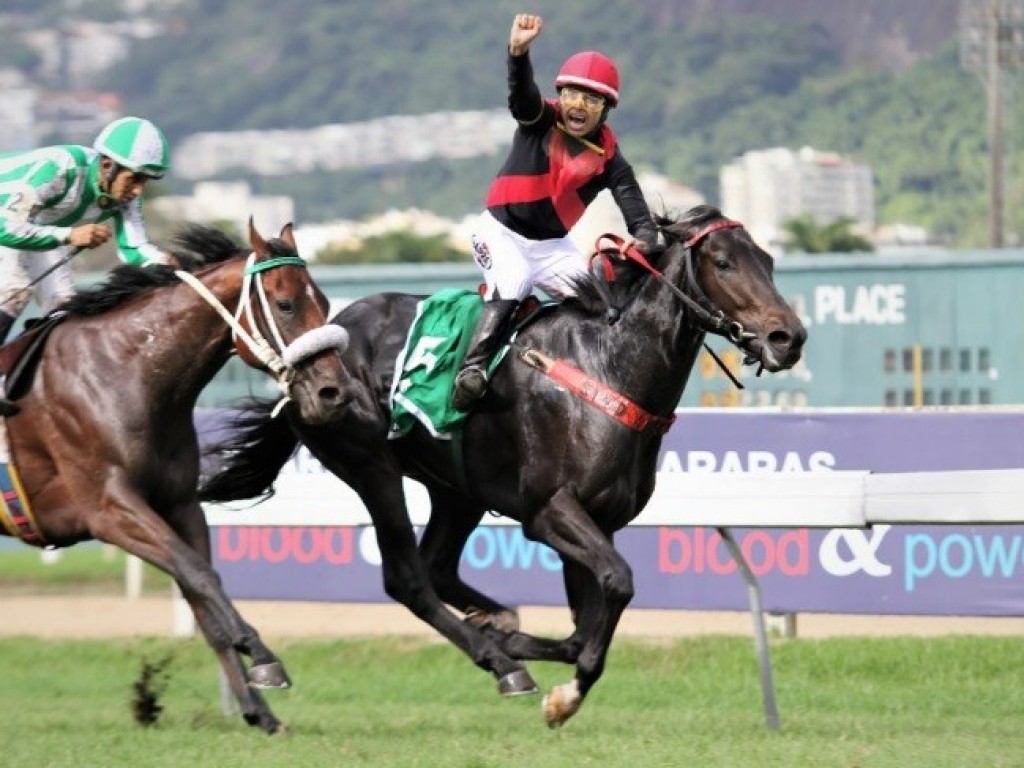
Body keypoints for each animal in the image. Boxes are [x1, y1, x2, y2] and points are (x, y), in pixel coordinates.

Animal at [0, 219, 354, 737]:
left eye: (325, 303)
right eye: (286, 303)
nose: (335, 393)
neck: (126, 372)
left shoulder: (180, 505)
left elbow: (202, 592)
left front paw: (261, 712)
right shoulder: (110, 509)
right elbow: (199, 575)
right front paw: (262, 655)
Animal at [199, 202, 806, 729]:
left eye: (768, 260)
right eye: (723, 262)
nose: (789, 337)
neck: (607, 367)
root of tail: (304, 355)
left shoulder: (599, 520)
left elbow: (586, 622)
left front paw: (545, 672)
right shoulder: (549, 510)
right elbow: (617, 582)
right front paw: (545, 677)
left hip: (457, 490)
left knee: (437, 566)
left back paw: (497, 627)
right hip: (371, 464)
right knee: (408, 577)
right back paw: (500, 659)